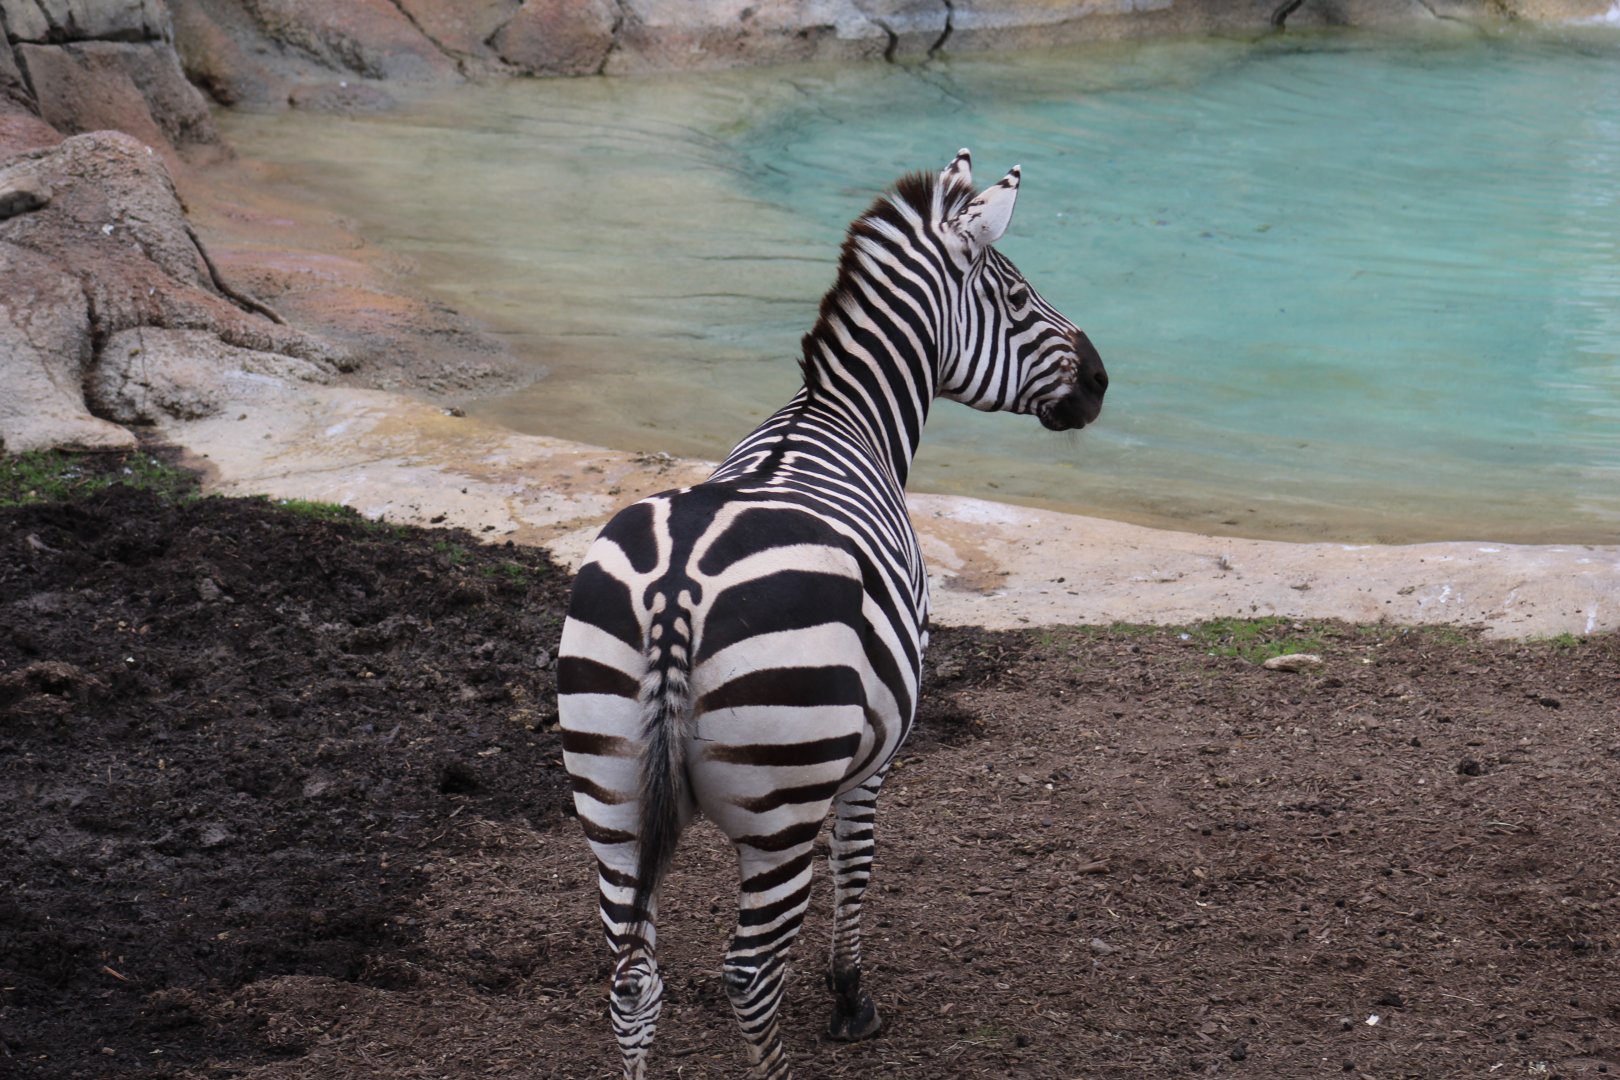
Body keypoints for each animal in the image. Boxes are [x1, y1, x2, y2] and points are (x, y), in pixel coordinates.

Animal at [557, 149, 1107, 1079]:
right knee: (748, 974)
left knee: (633, 980)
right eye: (1017, 296)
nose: (1102, 382)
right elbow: (859, 858)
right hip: (780, 802)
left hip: (610, 795)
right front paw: (851, 998)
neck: (839, 417)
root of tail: (675, 590)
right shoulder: (875, 750)